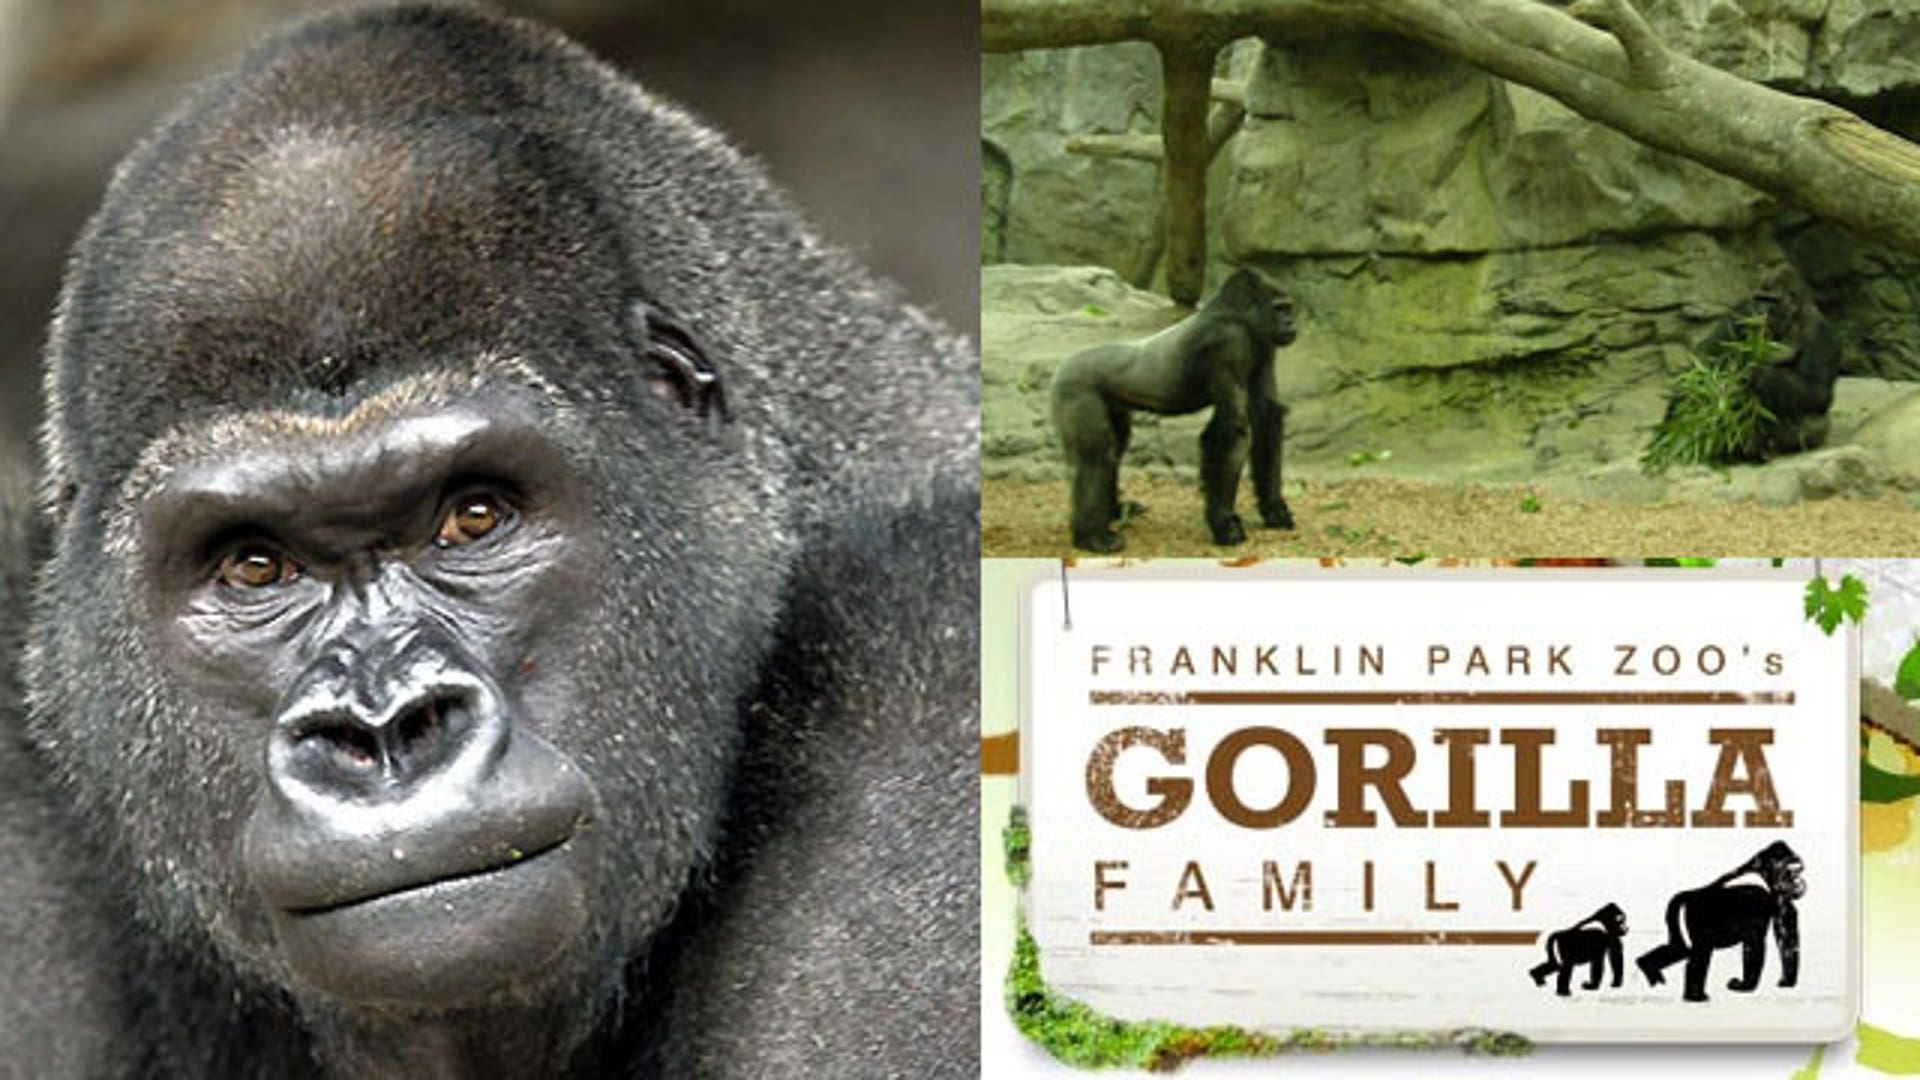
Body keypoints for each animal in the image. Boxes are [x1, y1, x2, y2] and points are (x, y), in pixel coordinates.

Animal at [1049, 269, 1297, 552]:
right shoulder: (1228, 343)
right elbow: (1232, 429)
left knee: (1115, 449)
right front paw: (1224, 524)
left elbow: (1267, 415)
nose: (1291, 323)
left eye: (1288, 308)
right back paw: (1092, 536)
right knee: (1095, 456)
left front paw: (1274, 508)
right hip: (1075, 386)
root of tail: (1061, 366)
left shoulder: (1265, 346)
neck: (1240, 316)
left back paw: (1115, 511)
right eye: (1279, 309)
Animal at [1636, 841, 1805, 1003]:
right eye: (1791, 871)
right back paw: (1695, 997)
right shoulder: (1759, 898)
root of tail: (1687, 896)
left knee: (1679, 949)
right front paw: (1744, 986)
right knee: (1699, 954)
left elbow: (1786, 938)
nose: (1798, 882)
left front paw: (1785, 982)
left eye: (1799, 870)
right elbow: (1754, 943)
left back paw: (1647, 967)